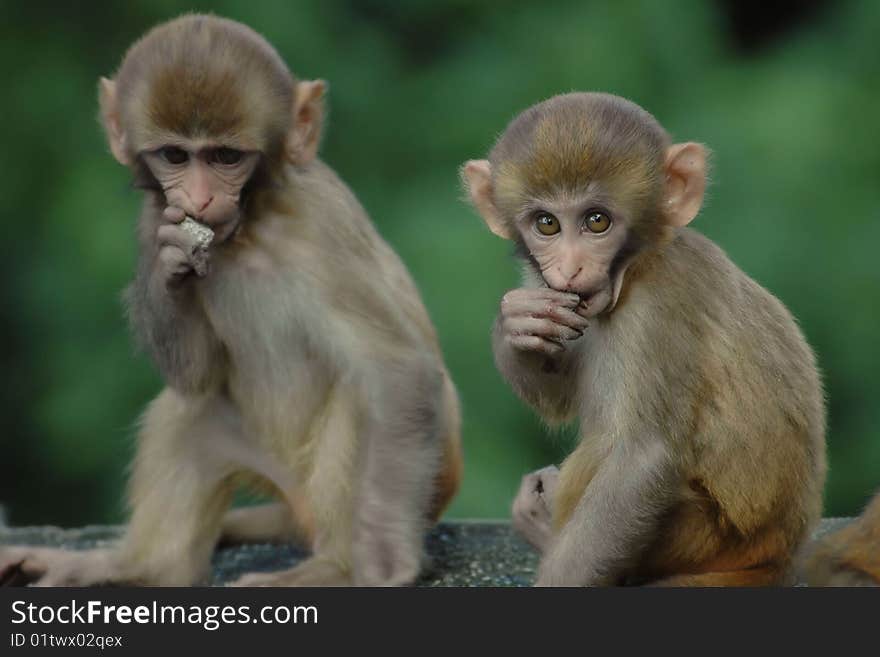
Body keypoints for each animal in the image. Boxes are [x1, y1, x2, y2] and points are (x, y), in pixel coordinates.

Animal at [0, 12, 464, 584]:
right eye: (175, 155)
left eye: (226, 156)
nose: (199, 199)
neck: (248, 230)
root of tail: (297, 507)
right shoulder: (151, 220)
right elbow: (196, 377)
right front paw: (169, 269)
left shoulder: (320, 230)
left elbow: (396, 368)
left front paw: (384, 563)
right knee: (188, 414)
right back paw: (139, 565)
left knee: (363, 395)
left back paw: (335, 566)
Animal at [464, 91, 828, 584]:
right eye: (547, 224)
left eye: (597, 221)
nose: (571, 268)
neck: (635, 269)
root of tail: (779, 557)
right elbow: (559, 396)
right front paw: (516, 324)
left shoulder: (660, 305)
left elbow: (642, 458)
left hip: (707, 539)